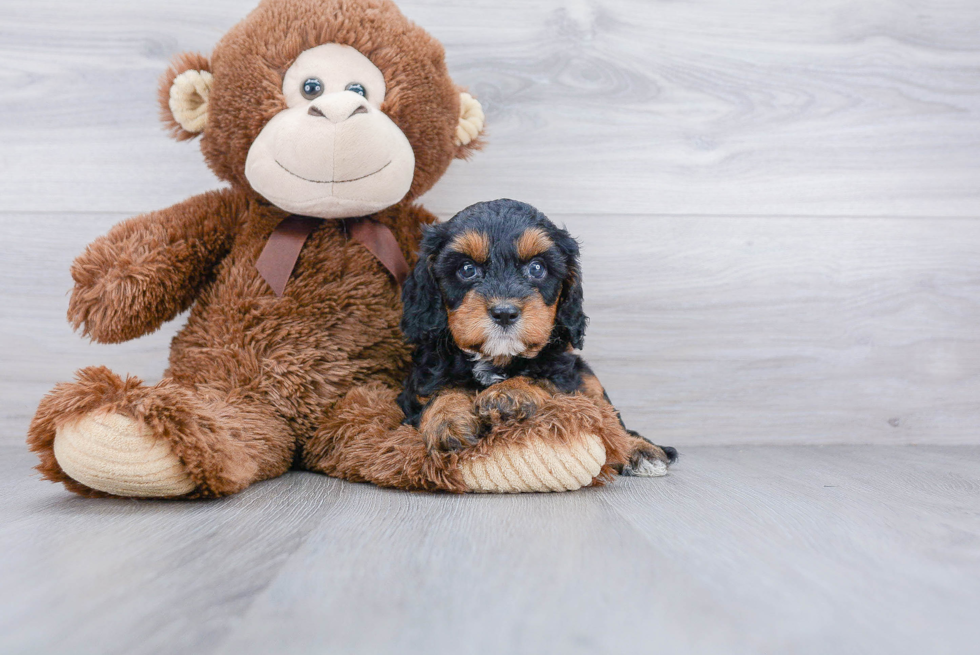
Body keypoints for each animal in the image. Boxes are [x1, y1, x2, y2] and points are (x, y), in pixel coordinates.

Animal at [396, 200, 672, 476]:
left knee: (605, 413)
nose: (504, 313)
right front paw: (447, 419)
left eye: (537, 268)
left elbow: (543, 380)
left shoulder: (564, 372)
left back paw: (638, 449)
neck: (498, 359)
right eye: (467, 269)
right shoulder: (422, 380)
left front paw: (509, 393)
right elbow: (439, 391)